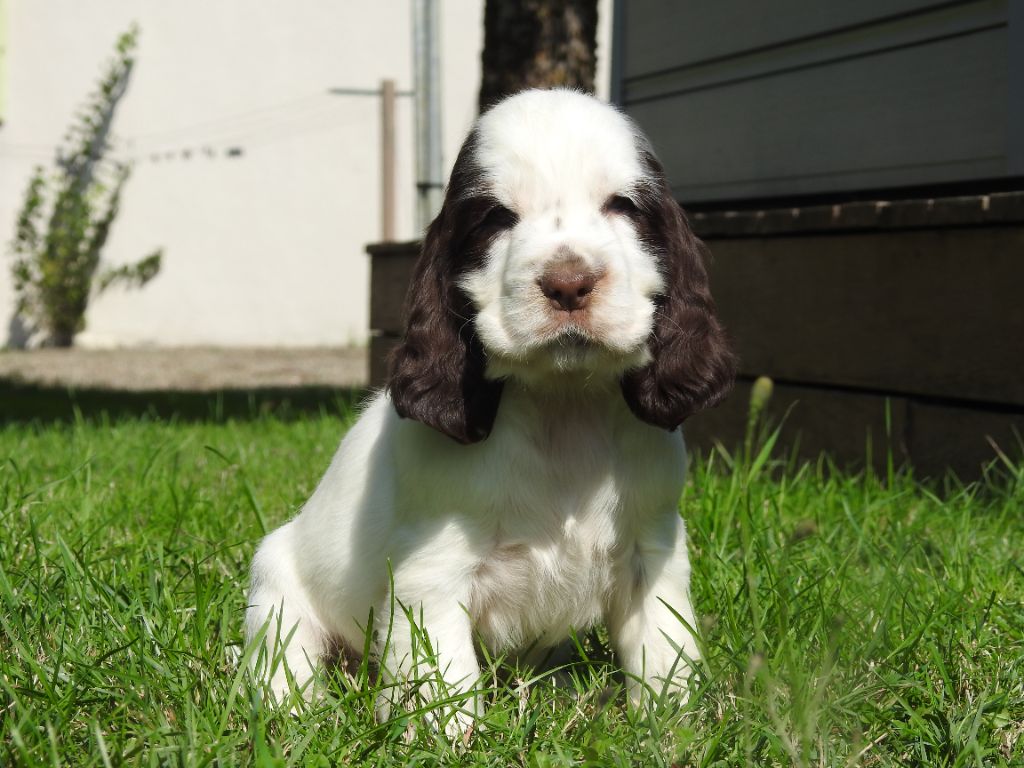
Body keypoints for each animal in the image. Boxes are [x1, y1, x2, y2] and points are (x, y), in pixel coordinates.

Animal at [243, 88, 733, 729]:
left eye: (622, 206)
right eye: (497, 218)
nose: (569, 283)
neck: (561, 405)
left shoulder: (652, 549)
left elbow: (664, 650)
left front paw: (672, 724)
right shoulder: (431, 571)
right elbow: (443, 676)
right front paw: (446, 735)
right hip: (276, 579)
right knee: (282, 656)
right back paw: (298, 708)